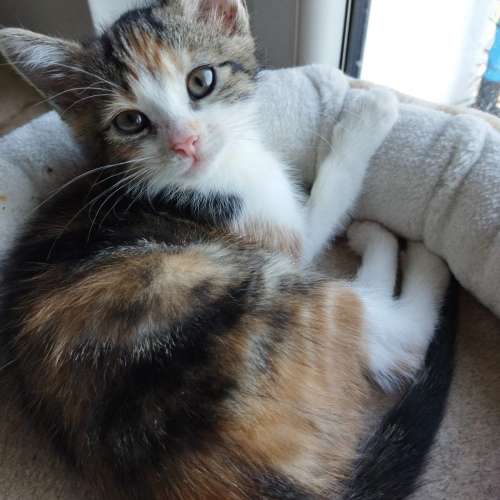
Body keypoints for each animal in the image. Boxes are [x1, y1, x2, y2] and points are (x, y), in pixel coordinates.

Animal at [0, 1, 452, 498]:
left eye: (201, 80)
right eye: (130, 121)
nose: (186, 142)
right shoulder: (276, 233)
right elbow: (330, 193)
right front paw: (370, 113)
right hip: (272, 283)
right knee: (399, 340)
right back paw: (415, 253)